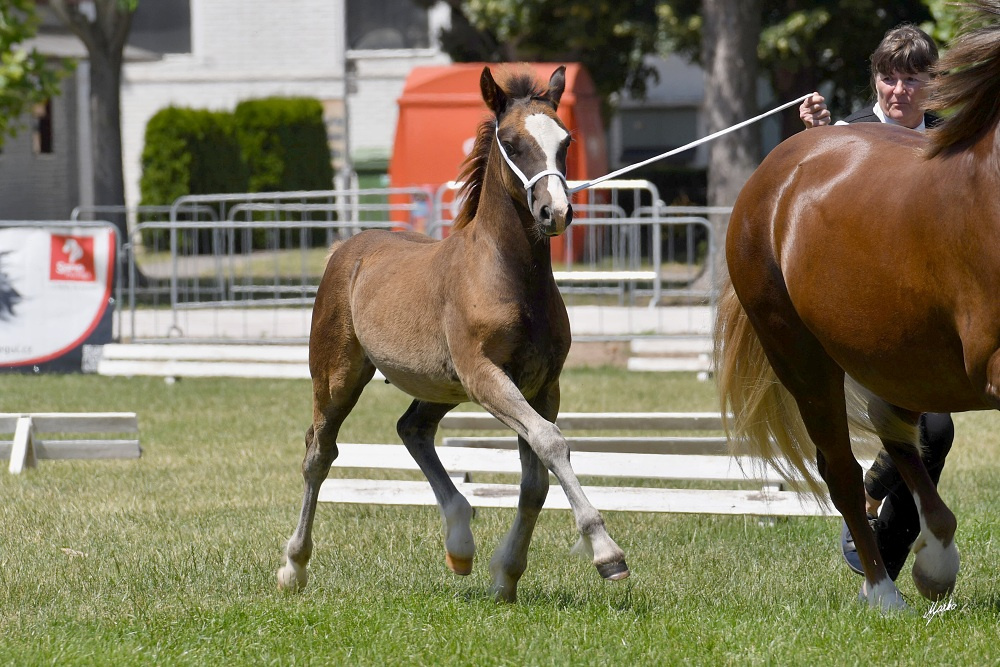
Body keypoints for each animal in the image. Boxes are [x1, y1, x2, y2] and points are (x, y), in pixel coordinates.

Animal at [276, 65, 629, 602]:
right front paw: (607, 554)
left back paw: (460, 542)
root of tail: (347, 247)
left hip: (441, 385)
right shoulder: (486, 375)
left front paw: (506, 575)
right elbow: (550, 443)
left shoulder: (541, 385)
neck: (511, 276)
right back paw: (294, 566)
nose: (556, 212)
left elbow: (536, 480)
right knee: (319, 453)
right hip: (338, 378)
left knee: (412, 429)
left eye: (565, 140)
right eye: (512, 142)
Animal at [715, 0, 1000, 612]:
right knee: (843, 468)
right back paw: (883, 587)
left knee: (899, 438)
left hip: (890, 354)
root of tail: (777, 167)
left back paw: (931, 559)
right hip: (803, 357)